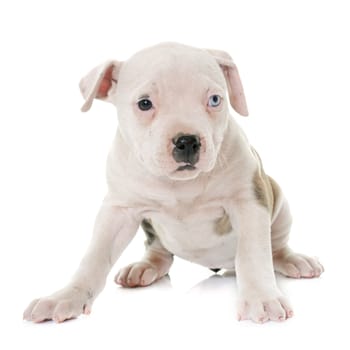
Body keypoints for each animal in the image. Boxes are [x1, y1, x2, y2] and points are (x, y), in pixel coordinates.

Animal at [23, 42, 324, 324]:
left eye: (215, 99)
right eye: (144, 103)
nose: (187, 141)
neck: (179, 185)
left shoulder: (250, 201)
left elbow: (253, 255)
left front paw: (261, 298)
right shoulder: (118, 211)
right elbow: (94, 257)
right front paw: (65, 297)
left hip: (279, 202)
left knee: (275, 246)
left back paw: (294, 260)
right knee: (159, 252)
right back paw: (144, 267)